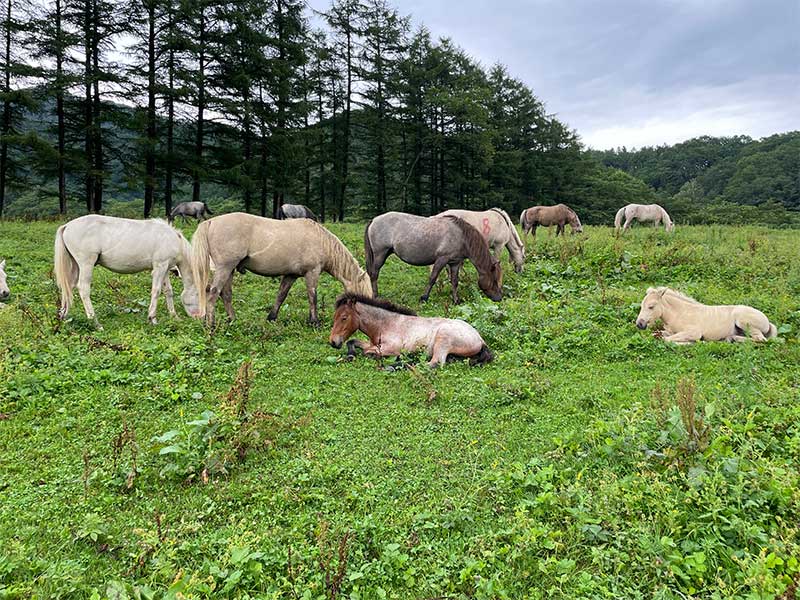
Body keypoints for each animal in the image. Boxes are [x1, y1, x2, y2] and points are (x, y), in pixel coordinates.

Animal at [53, 216, 202, 328]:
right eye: (199, 295)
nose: (199, 317)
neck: (173, 239)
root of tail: (67, 226)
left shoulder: (165, 268)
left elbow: (168, 291)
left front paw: (174, 316)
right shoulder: (160, 267)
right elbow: (156, 291)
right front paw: (152, 318)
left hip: (76, 266)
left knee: (68, 287)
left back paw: (63, 316)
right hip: (86, 264)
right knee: (83, 289)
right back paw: (95, 322)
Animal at [191, 212, 372, 328]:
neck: (321, 241)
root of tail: (211, 222)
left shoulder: (291, 275)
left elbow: (281, 296)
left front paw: (271, 318)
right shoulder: (312, 273)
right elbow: (312, 297)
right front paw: (314, 322)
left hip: (230, 270)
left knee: (226, 295)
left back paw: (233, 321)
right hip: (225, 268)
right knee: (213, 293)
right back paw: (211, 325)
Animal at [326, 292, 494, 368]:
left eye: (344, 318)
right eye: (335, 317)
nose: (333, 342)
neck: (385, 324)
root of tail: (480, 339)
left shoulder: (389, 348)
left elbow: (367, 352)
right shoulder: (373, 343)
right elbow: (353, 342)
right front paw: (350, 354)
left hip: (443, 339)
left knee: (434, 363)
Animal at [366, 212, 504, 304]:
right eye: (494, 280)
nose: (499, 298)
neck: (462, 236)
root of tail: (374, 220)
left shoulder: (455, 263)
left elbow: (454, 281)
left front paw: (456, 300)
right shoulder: (441, 259)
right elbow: (432, 278)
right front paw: (424, 298)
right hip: (380, 254)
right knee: (374, 274)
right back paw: (375, 296)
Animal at [636, 288, 780, 344]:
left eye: (651, 306)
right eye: (641, 305)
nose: (639, 324)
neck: (680, 313)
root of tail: (768, 323)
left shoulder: (694, 332)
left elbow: (667, 339)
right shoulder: (668, 331)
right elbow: (660, 335)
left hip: (744, 322)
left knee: (760, 339)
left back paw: (731, 339)